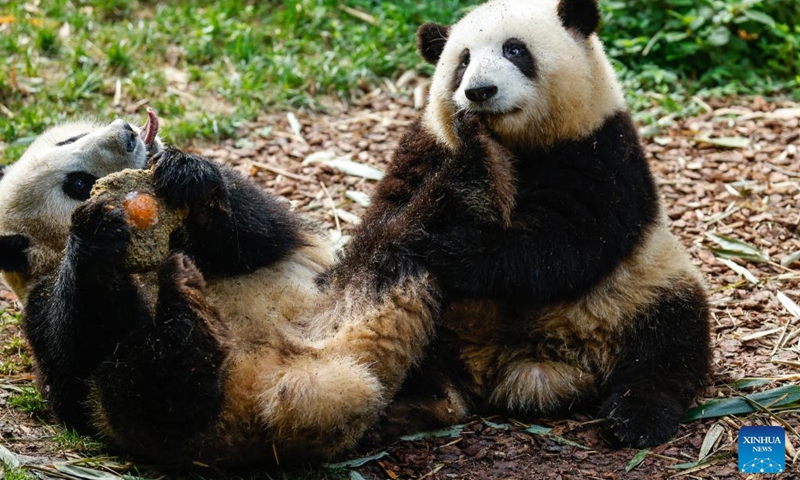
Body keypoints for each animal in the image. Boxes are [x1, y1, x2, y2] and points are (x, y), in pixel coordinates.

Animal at [0, 114, 444, 466]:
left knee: (402, 240)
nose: (127, 134)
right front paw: (96, 231)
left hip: (353, 288)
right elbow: (71, 363)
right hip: (154, 418)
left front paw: (188, 176)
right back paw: (188, 314)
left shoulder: (273, 233)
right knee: (147, 390)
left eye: (69, 139)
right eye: (77, 183)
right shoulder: (41, 300)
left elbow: (258, 236)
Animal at [360, 0, 708, 448]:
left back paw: (639, 415)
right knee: (426, 362)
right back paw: (414, 406)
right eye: (463, 60)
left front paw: (453, 250)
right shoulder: (430, 143)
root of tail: (519, 363)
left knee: (670, 339)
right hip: (447, 326)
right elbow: (388, 215)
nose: (480, 91)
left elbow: (567, 243)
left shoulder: (601, 149)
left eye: (515, 50)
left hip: (641, 288)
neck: (512, 143)